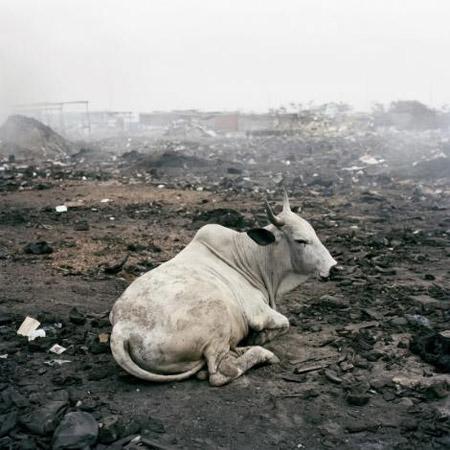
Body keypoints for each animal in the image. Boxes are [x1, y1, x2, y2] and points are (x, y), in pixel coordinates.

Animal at [109, 192, 336, 384]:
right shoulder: (258, 312)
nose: (334, 267)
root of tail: (122, 328)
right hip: (217, 318)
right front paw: (260, 337)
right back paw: (260, 354)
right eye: (301, 240)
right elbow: (285, 323)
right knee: (220, 372)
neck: (252, 259)